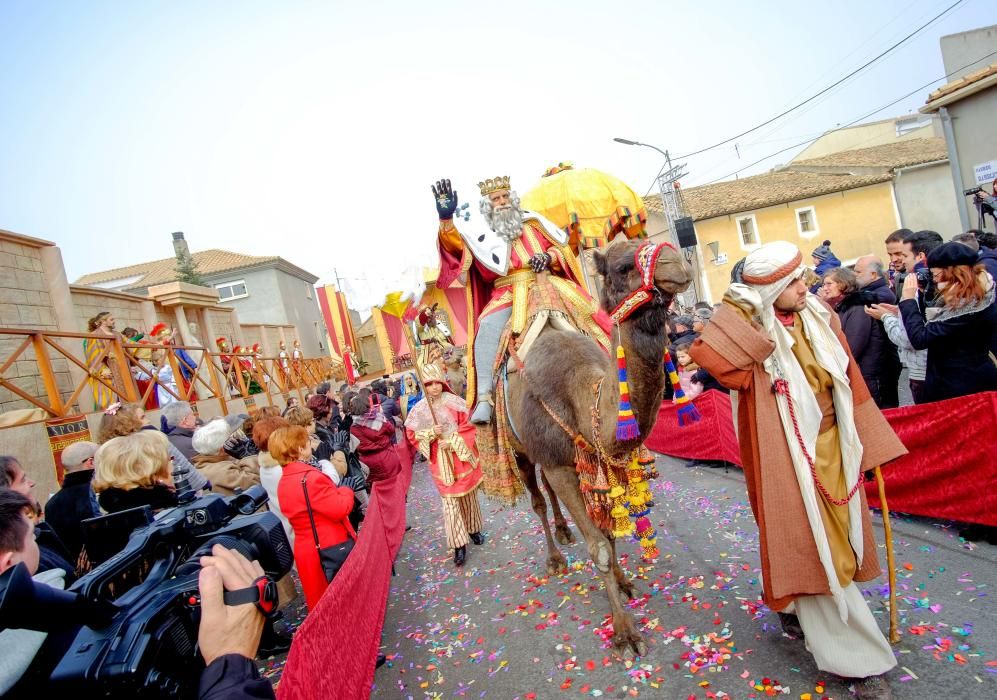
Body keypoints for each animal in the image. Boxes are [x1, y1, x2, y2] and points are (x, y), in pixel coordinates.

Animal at [502, 239, 688, 656]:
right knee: (537, 499)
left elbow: (611, 533)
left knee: (550, 497)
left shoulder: (602, 462)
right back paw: (555, 557)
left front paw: (623, 581)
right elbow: (599, 548)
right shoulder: (558, 463)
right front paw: (625, 632)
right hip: (520, 450)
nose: (678, 265)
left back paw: (564, 530)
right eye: (621, 267)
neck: (581, 392)